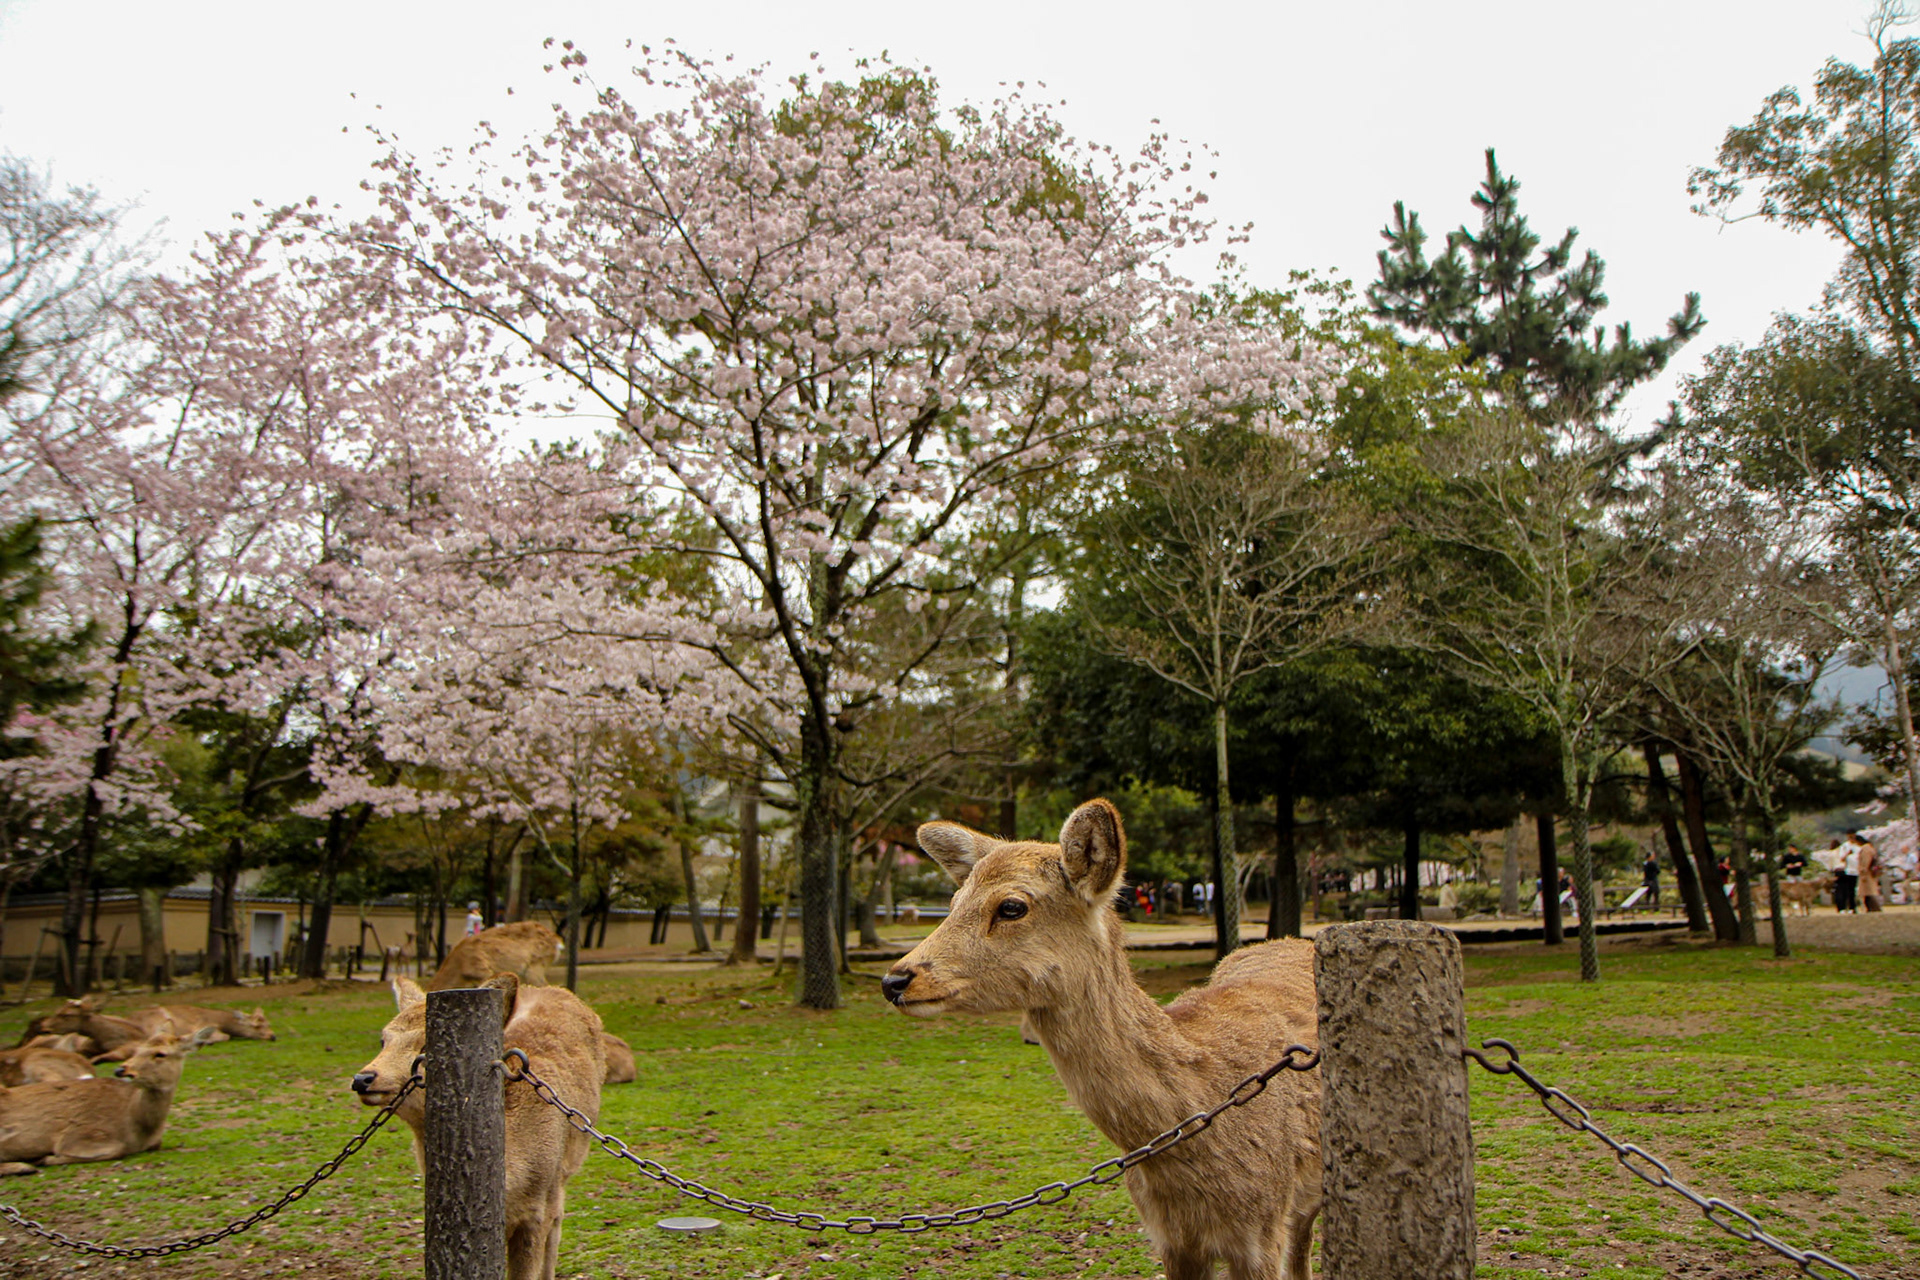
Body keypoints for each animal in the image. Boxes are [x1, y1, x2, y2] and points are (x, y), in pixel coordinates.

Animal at [0, 1022, 216, 1173]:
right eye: (137, 1049)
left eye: (160, 1054)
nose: (121, 1070)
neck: (138, 1128)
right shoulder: (75, 1136)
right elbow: (116, 1149)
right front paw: (44, 1158)